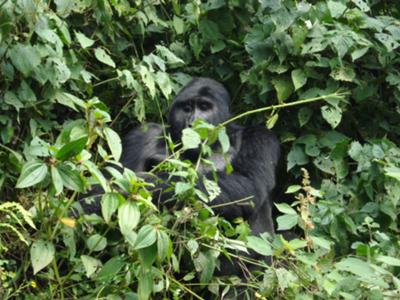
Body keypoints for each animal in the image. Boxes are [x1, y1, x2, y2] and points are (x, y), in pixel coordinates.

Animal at [120, 78, 280, 237]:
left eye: (204, 107)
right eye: (187, 108)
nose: (193, 123)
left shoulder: (260, 138)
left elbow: (249, 185)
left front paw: (149, 183)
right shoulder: (141, 136)